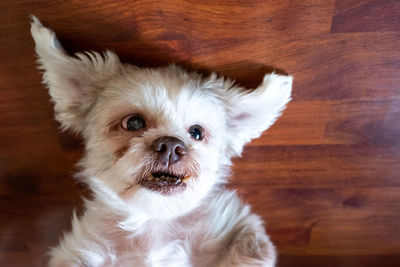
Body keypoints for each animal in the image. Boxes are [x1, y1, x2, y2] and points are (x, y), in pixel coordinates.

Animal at [31, 15, 292, 266]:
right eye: (134, 123)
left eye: (196, 132)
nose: (171, 146)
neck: (153, 223)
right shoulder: (80, 250)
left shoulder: (237, 231)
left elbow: (253, 246)